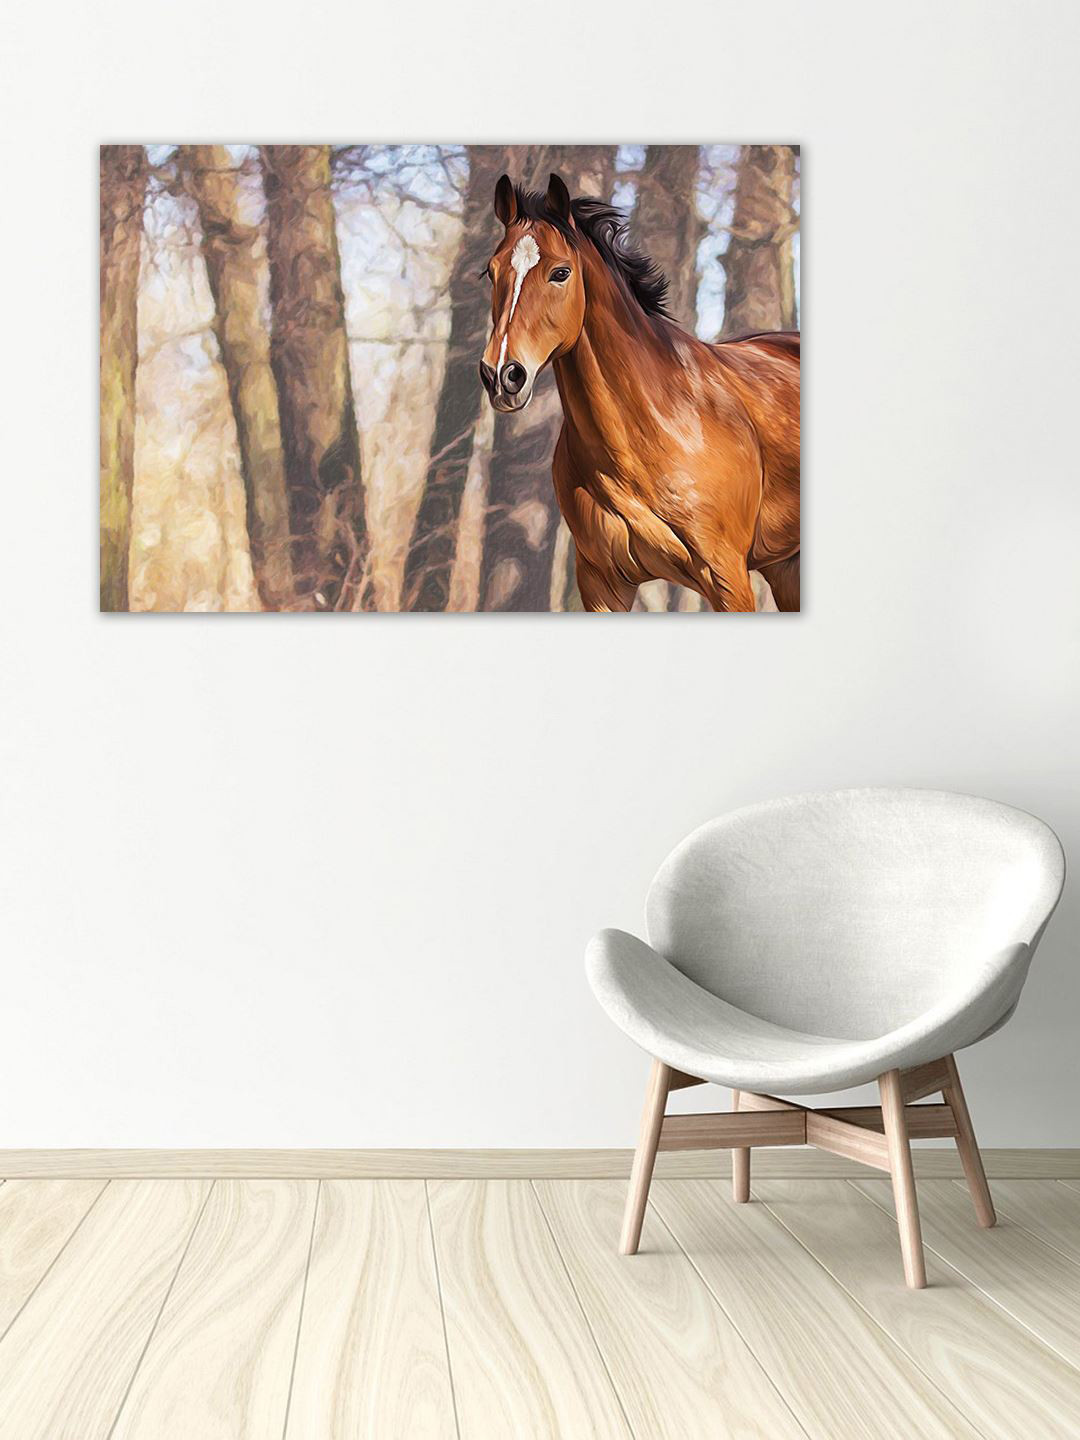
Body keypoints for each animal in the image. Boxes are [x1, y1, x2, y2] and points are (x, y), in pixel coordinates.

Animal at [478, 173, 800, 612]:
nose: (501, 374)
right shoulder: (602, 583)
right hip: (784, 566)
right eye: (490, 272)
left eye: (560, 272)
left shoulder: (728, 577)